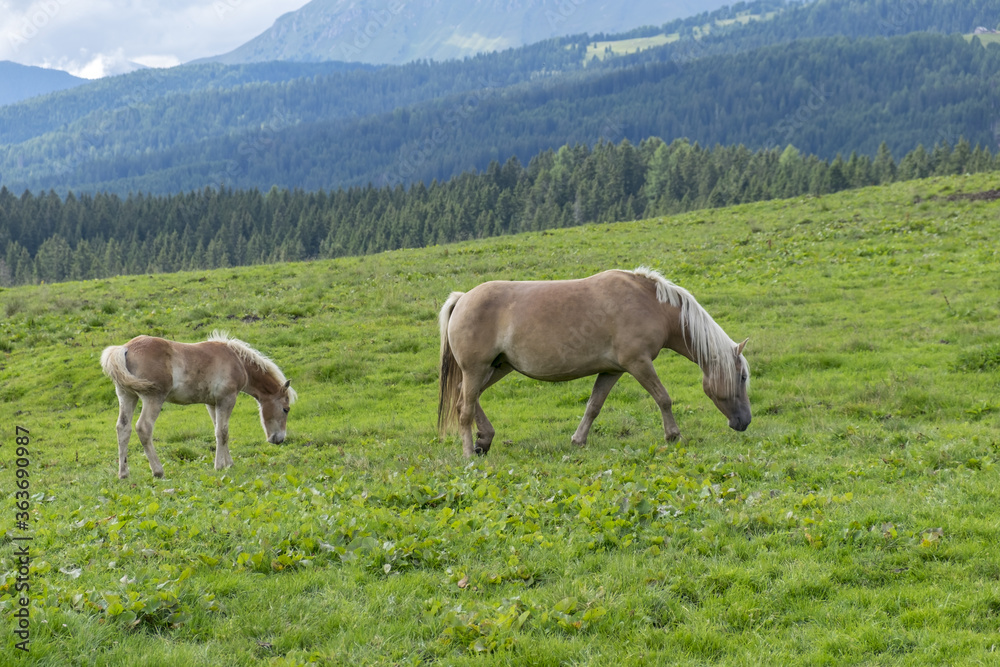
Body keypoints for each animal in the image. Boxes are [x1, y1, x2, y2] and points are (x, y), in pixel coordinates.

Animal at [100, 330, 296, 479]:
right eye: (285, 409)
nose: (279, 439)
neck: (236, 360)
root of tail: (125, 348)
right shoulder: (227, 399)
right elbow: (222, 432)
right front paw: (219, 466)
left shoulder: (212, 403)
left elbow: (220, 431)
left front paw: (229, 463)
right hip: (153, 398)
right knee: (144, 428)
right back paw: (158, 471)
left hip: (127, 396)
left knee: (123, 428)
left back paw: (123, 474)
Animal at [437, 267, 750, 457]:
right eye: (743, 377)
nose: (745, 421)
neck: (650, 303)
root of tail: (462, 298)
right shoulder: (639, 363)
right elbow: (663, 398)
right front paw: (673, 436)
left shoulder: (612, 371)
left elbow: (593, 406)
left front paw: (578, 441)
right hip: (476, 369)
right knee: (464, 407)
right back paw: (469, 453)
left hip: (497, 368)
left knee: (464, 398)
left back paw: (485, 439)